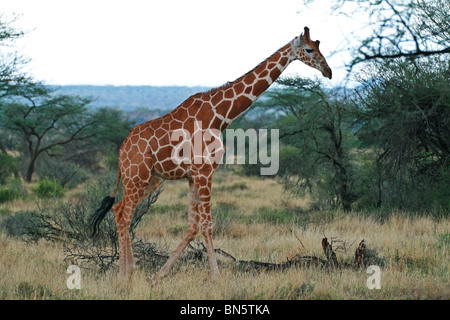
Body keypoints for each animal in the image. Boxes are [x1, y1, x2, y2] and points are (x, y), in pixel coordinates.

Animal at [90, 26, 330, 284]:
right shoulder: (204, 172)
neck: (220, 116)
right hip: (136, 176)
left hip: (150, 180)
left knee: (118, 210)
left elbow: (192, 226)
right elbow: (207, 224)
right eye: (309, 49)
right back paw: (124, 274)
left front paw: (159, 274)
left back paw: (129, 270)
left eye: (319, 45)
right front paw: (216, 276)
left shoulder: (193, 175)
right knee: (124, 215)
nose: (329, 71)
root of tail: (121, 150)